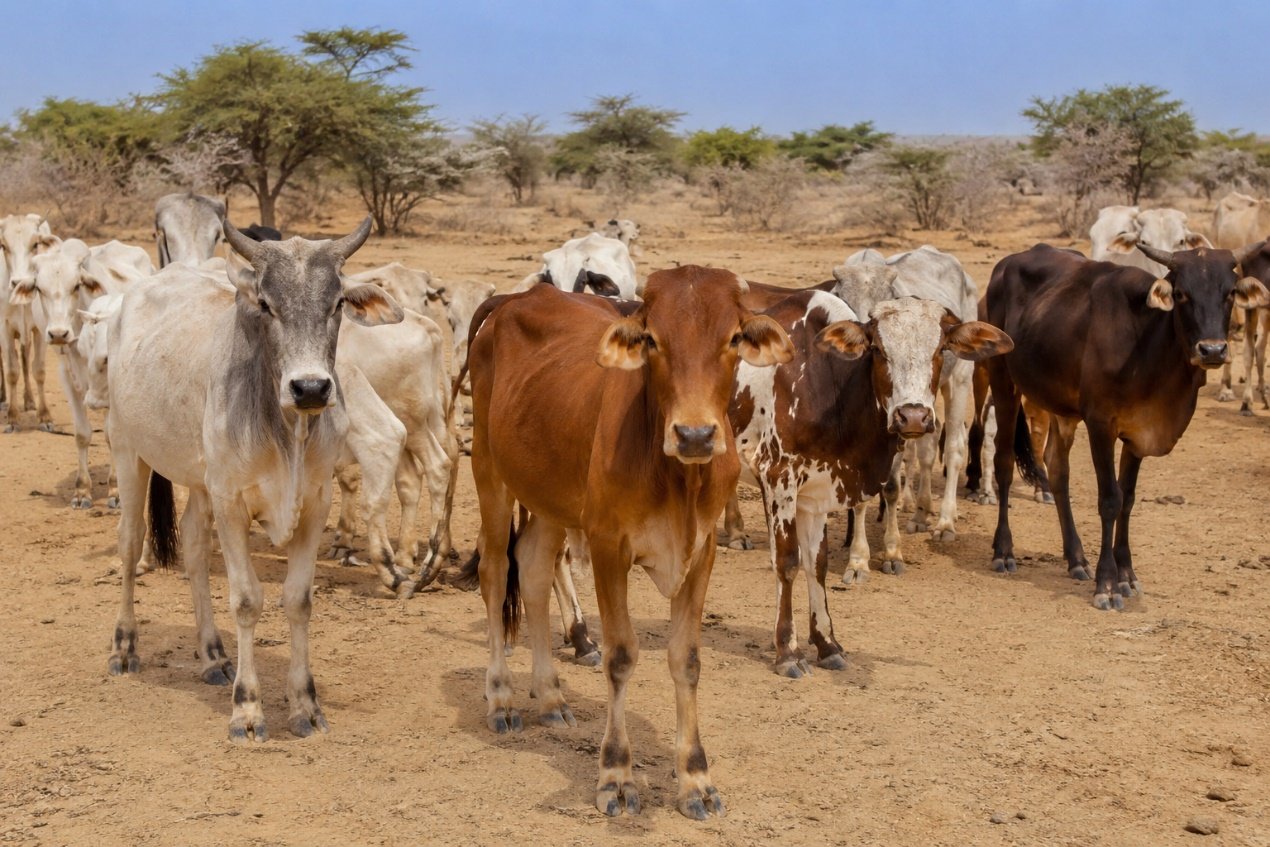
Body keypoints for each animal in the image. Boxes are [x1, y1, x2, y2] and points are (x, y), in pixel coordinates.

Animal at [1, 213, 58, 431]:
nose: (19, 282)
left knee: (25, 358)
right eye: (3, 245)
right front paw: (12, 417)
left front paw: (45, 416)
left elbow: (38, 370)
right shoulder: (4, 327)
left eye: (35, 244)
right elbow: (11, 370)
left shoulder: (40, 330)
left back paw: (29, 400)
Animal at [105, 218, 404, 741]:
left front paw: (306, 706)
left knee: (194, 546)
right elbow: (246, 600)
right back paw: (125, 646)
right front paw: (247, 709)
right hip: (128, 449)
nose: (310, 388)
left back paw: (213, 655)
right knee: (130, 541)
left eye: (337, 303)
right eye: (266, 304)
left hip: (200, 481)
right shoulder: (232, 503)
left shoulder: (315, 502)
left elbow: (298, 600)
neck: (288, 431)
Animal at [466, 267, 792, 819]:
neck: (677, 477)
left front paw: (696, 780)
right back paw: (502, 698)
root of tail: (513, 299)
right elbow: (620, 657)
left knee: (532, 569)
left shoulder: (701, 552)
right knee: (494, 574)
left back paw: (550, 697)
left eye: (732, 338)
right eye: (653, 339)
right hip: (490, 471)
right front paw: (615, 776)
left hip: (551, 496)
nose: (695, 435)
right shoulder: (606, 546)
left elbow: (687, 660)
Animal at [732, 291, 1011, 676]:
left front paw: (827, 644)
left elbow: (816, 563)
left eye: (941, 348)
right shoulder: (779, 480)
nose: (913, 416)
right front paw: (788, 652)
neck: (824, 381)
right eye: (878, 349)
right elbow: (787, 563)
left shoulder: (816, 491)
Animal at [981, 242, 1268, 610]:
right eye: (1181, 293)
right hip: (1004, 381)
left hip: (1061, 408)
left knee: (1058, 470)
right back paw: (1004, 551)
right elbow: (1110, 500)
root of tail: (1007, 263)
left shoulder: (1137, 435)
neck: (1147, 347)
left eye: (1229, 292)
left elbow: (1128, 500)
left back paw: (1076, 558)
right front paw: (1107, 583)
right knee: (1003, 462)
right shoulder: (1101, 425)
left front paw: (1127, 575)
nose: (1213, 350)